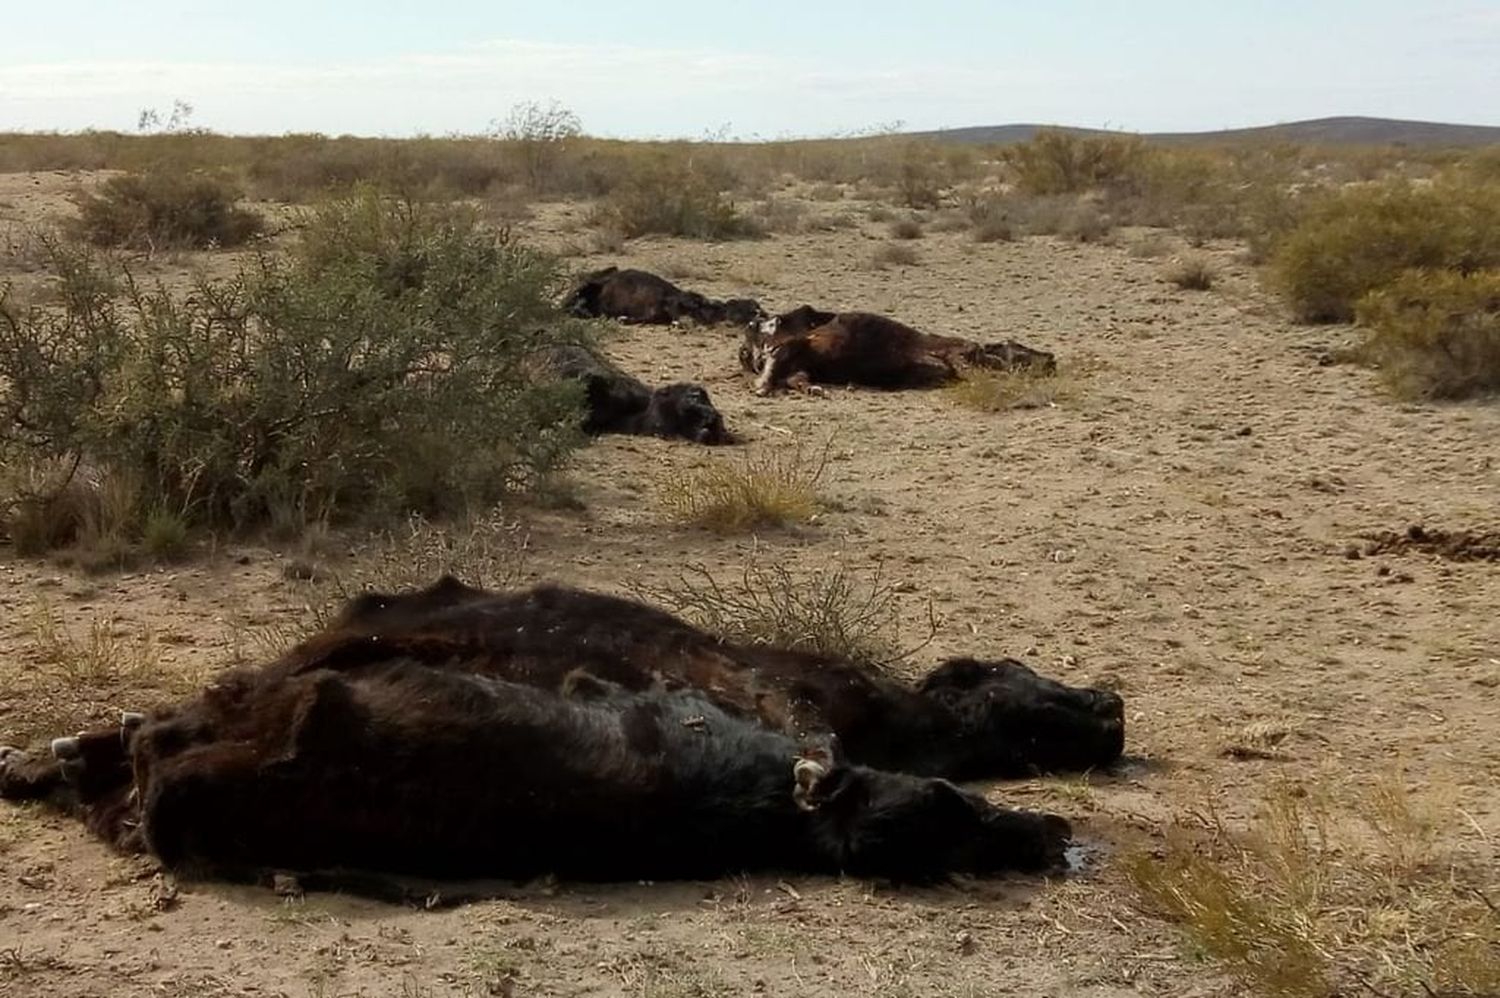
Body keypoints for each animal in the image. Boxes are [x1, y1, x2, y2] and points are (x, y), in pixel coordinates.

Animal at [738, 306, 1056, 396]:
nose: (1051, 359)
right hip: (793, 350)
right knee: (778, 365)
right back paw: (763, 386)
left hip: (800, 360)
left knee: (794, 376)